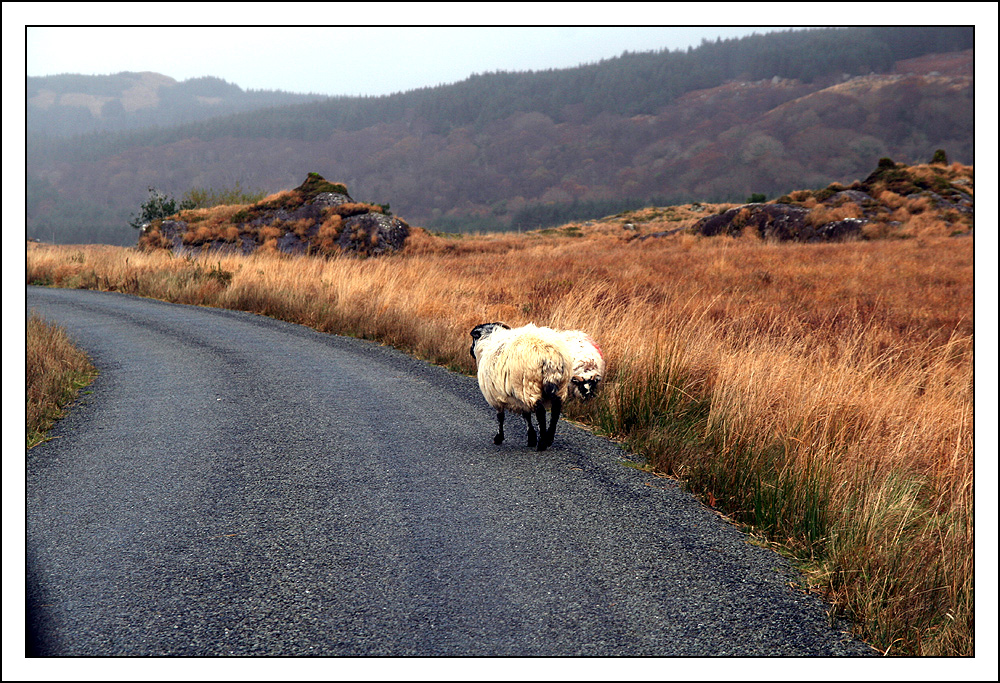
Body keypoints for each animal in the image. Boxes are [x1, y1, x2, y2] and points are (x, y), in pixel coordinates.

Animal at [468, 324, 572, 452]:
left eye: (473, 339)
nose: (470, 351)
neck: (487, 341)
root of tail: (550, 357)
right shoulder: (518, 398)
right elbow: (526, 416)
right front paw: (531, 438)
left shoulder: (495, 396)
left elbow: (500, 417)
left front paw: (498, 438)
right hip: (560, 386)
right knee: (556, 410)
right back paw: (549, 438)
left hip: (528, 387)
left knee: (540, 412)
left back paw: (542, 443)